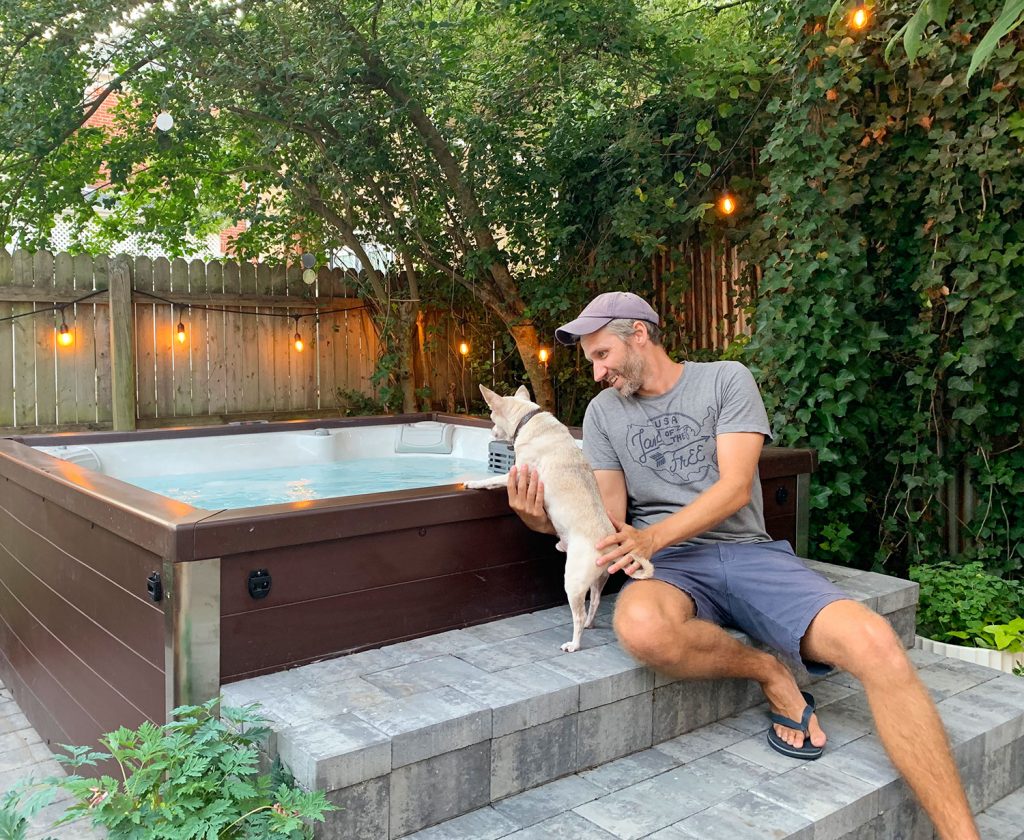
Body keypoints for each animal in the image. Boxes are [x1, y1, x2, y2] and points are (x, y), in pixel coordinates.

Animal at [466, 383, 655, 651]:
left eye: (492, 417)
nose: (491, 431)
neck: (528, 418)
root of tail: (609, 544)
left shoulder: (519, 474)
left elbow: (493, 480)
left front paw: (473, 483)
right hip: (598, 580)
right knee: (594, 603)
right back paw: (590, 624)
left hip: (573, 580)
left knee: (579, 614)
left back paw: (574, 644)